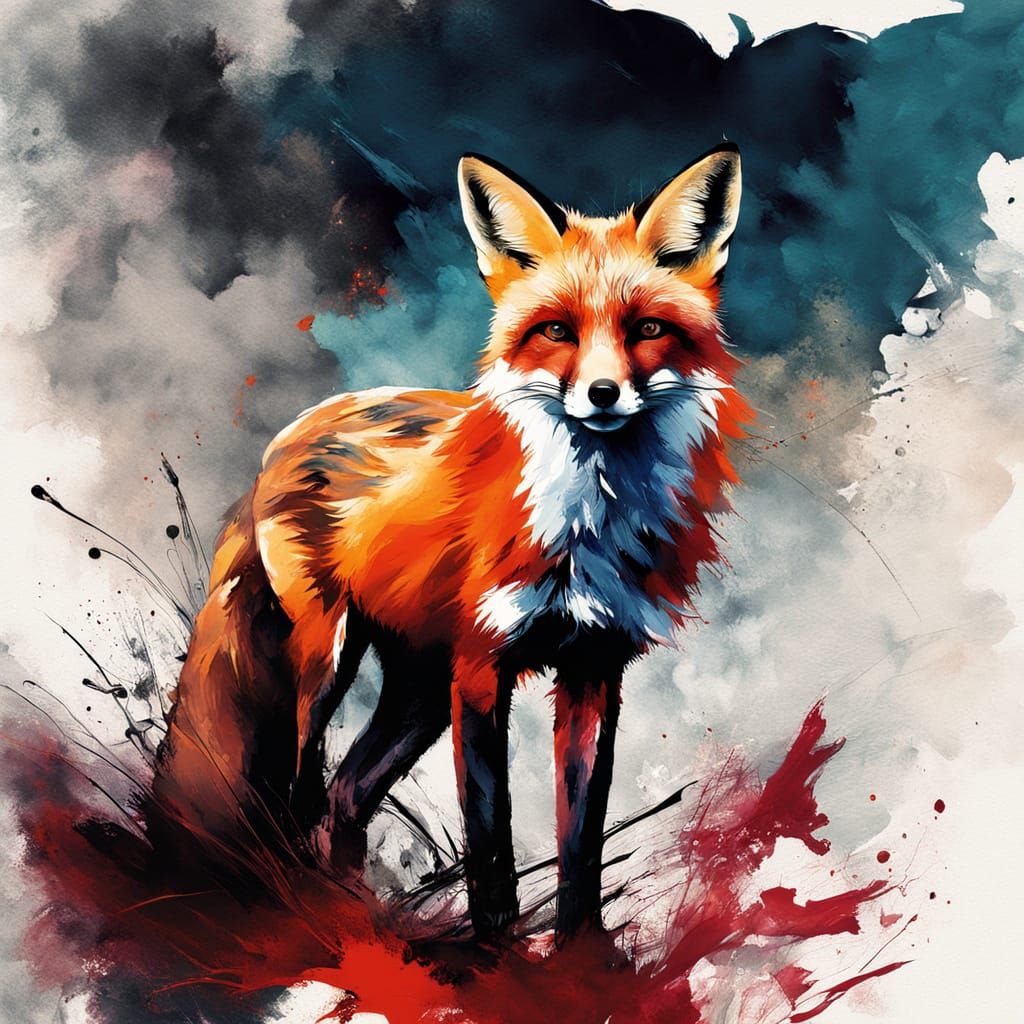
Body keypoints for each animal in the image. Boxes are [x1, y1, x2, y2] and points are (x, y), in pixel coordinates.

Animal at [152, 143, 749, 943]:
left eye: (647, 329)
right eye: (556, 331)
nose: (601, 394)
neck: (585, 526)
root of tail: (287, 436)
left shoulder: (595, 667)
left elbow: (581, 840)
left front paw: (581, 955)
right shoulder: (480, 668)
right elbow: (490, 839)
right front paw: (497, 949)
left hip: (417, 693)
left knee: (345, 795)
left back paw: (361, 916)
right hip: (329, 664)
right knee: (301, 792)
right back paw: (313, 913)